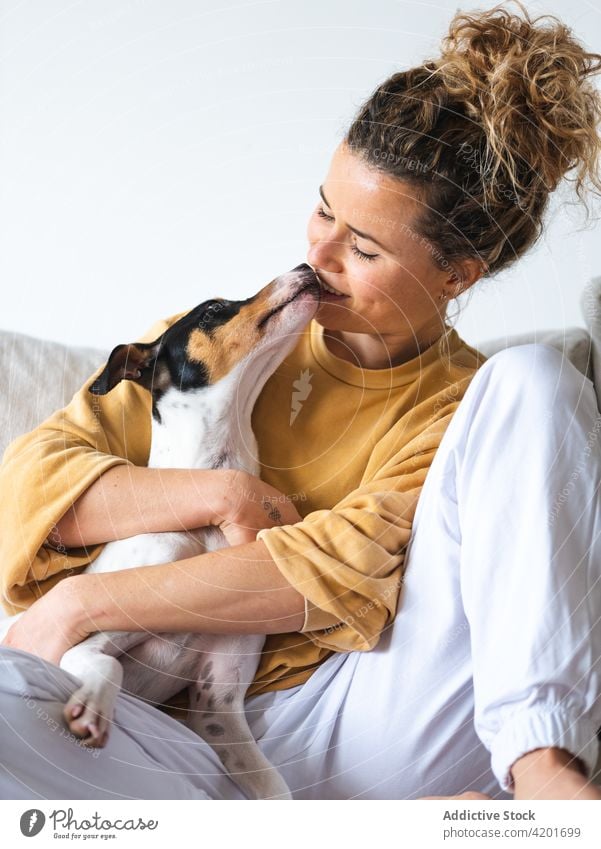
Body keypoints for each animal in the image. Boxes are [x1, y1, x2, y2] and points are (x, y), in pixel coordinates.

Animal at [4, 262, 322, 800]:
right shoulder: (84, 642)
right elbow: (109, 665)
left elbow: (275, 787)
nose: (306, 266)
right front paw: (93, 709)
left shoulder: (218, 707)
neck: (204, 532)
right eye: (213, 309)